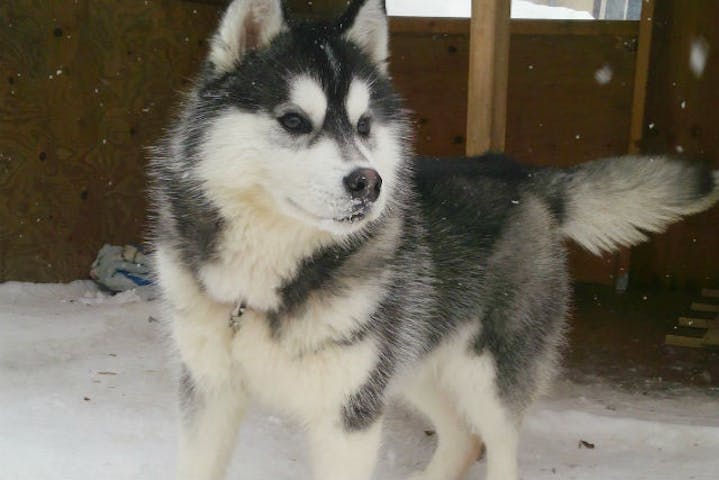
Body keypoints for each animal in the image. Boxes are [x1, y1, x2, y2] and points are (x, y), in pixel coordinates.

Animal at [149, 1, 716, 478]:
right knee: (463, 439)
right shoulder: (209, 394)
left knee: (498, 444)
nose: (368, 182)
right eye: (293, 120)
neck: (262, 284)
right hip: (417, 359)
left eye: (364, 125)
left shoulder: (349, 415)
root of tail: (523, 174)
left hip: (489, 374)